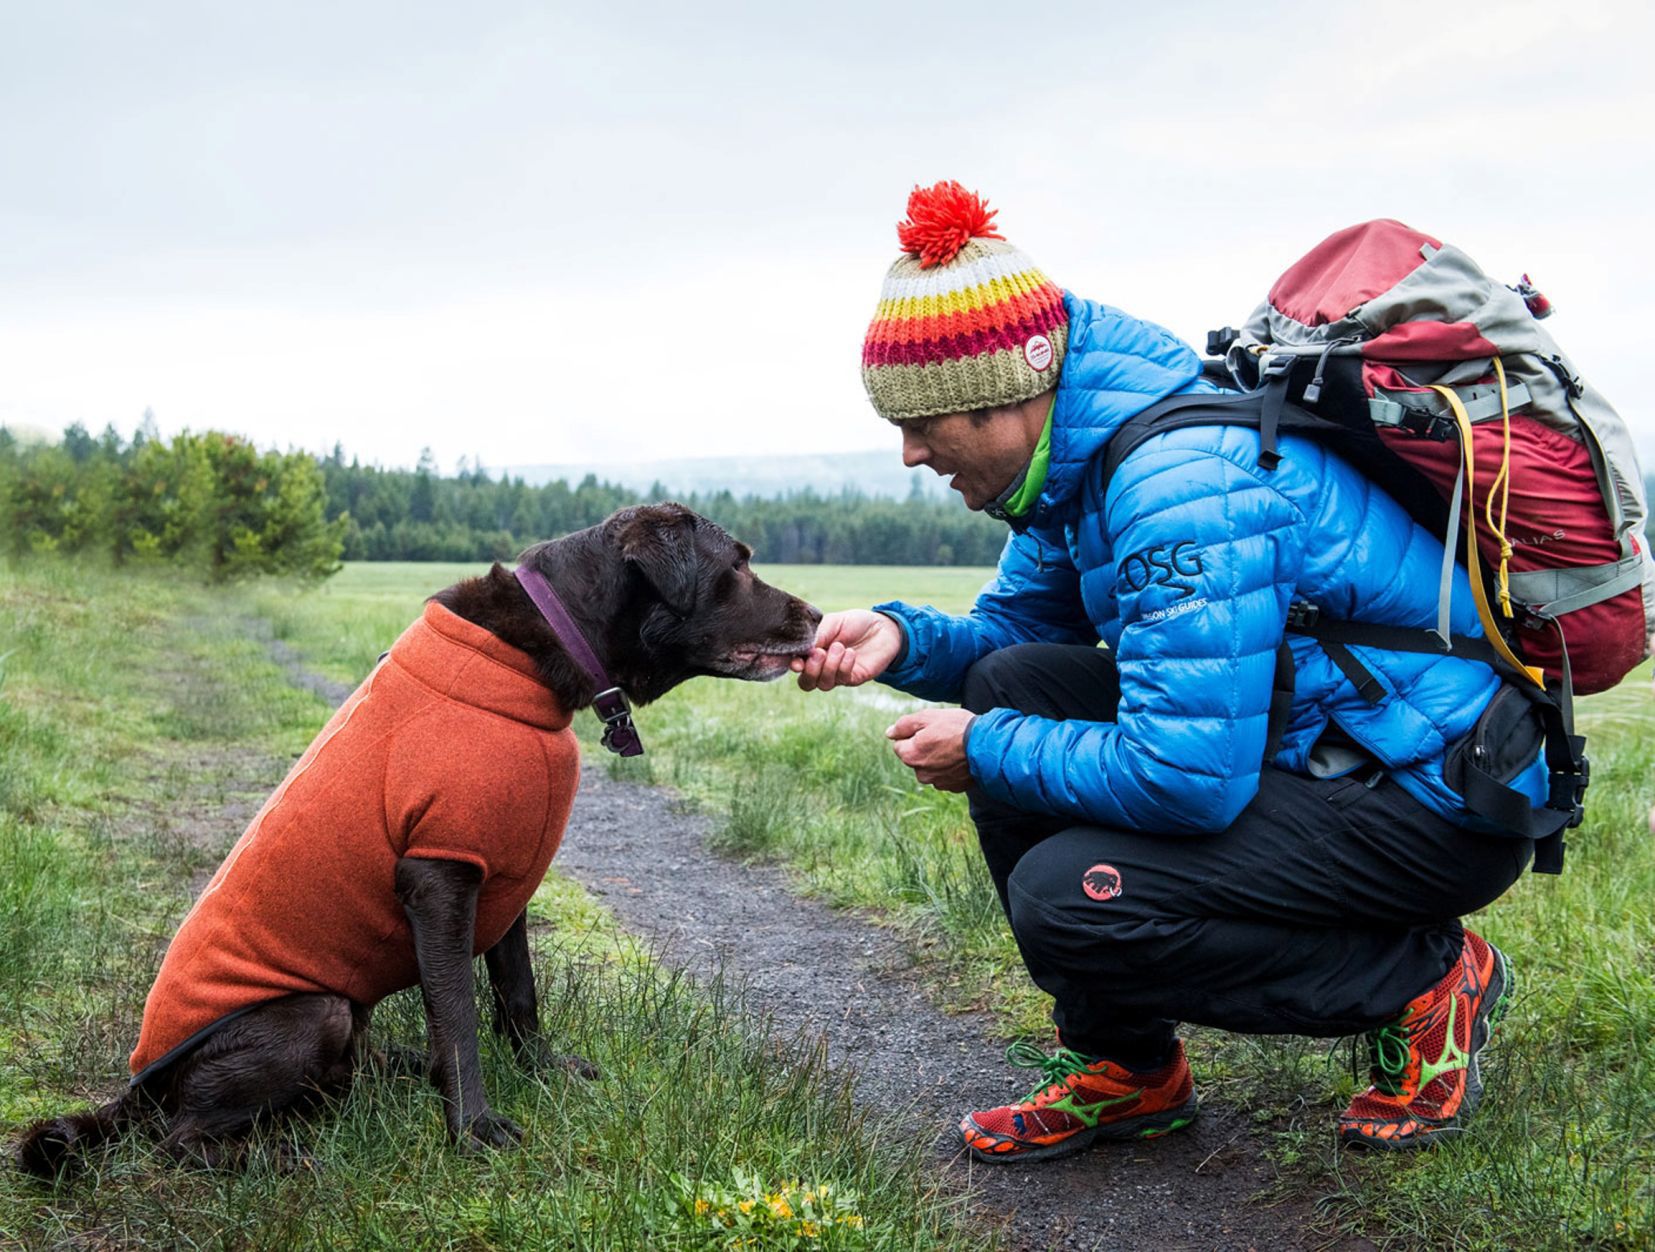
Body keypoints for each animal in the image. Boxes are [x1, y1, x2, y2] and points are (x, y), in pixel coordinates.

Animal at [22, 500, 824, 1172]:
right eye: (737, 565)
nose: (818, 613)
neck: (544, 653)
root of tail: (136, 1089)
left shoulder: (505, 873)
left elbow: (517, 995)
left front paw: (542, 1074)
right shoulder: (441, 877)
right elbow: (459, 1016)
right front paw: (474, 1129)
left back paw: (399, 1069)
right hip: (312, 1011)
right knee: (180, 1141)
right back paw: (282, 1159)